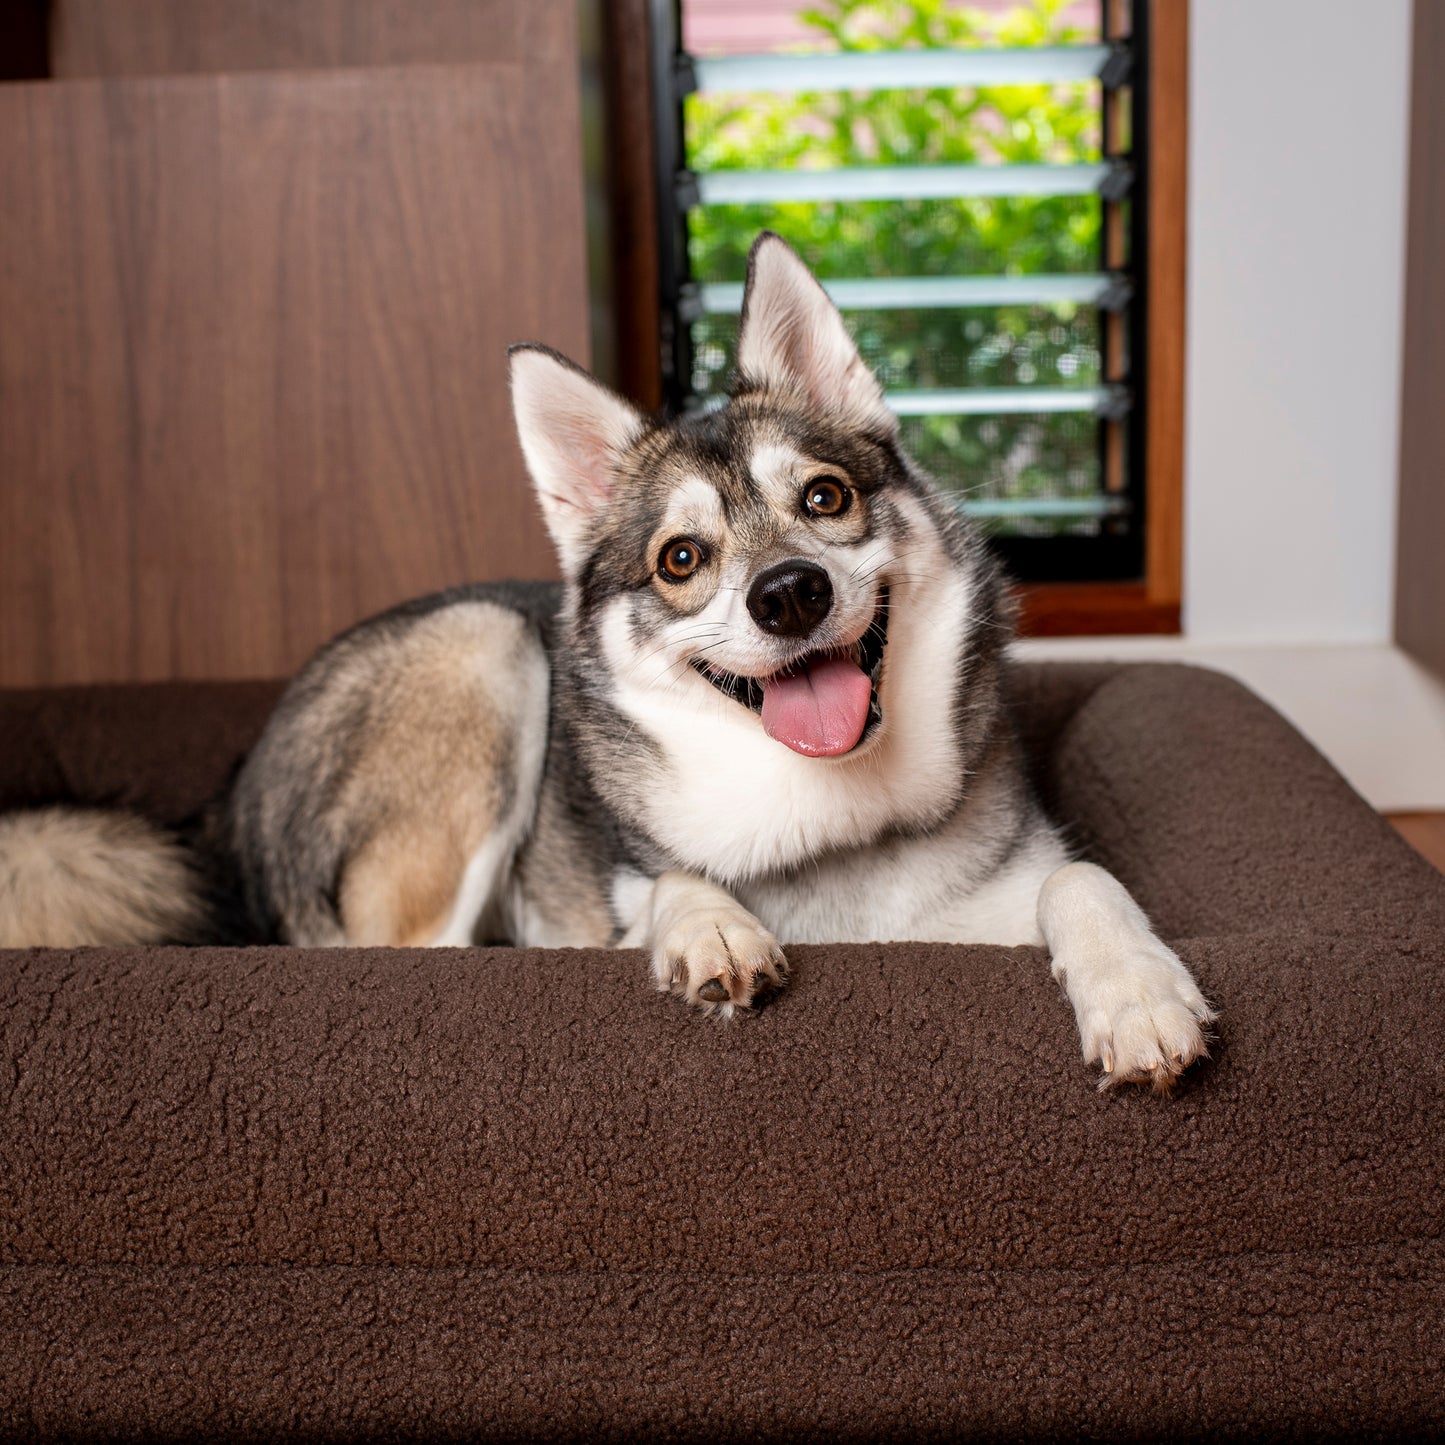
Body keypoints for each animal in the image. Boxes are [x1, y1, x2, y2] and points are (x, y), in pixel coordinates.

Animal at [2, 231, 1219, 1086]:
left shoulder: (1004, 893)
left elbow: (1079, 877)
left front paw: (1137, 991)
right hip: (483, 651)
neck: (830, 823)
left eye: (824, 498)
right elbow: (670, 879)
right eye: (681, 557)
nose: (789, 593)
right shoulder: (615, 873)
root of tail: (226, 795)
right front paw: (712, 924)